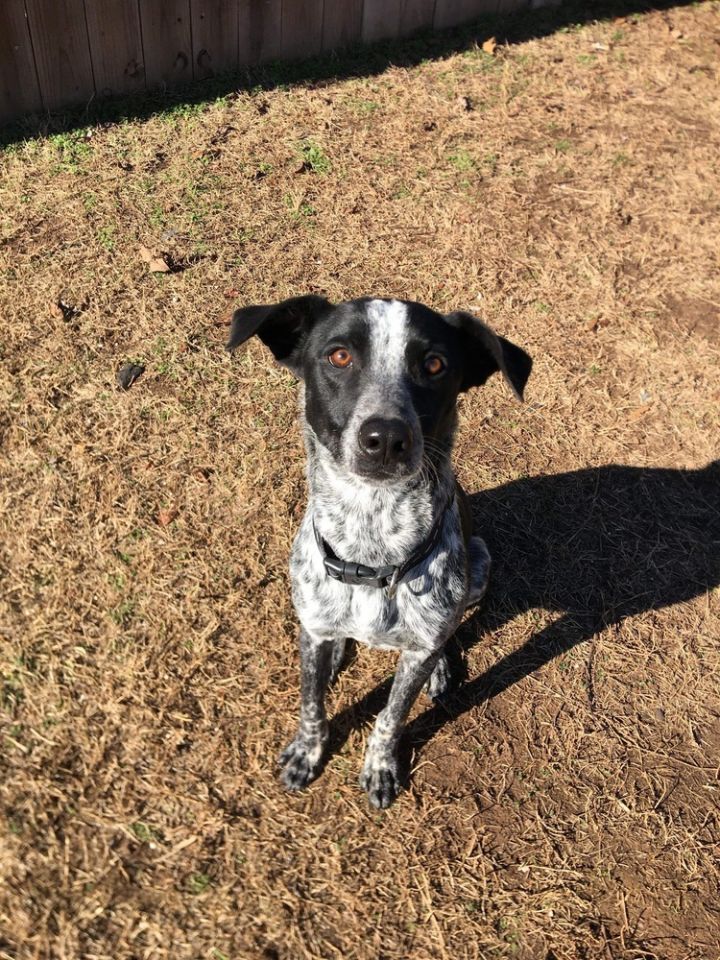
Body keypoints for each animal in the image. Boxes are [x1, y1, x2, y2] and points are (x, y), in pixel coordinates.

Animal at [228, 296, 532, 808]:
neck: (372, 545)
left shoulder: (420, 646)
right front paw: (307, 751)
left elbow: (391, 717)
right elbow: (311, 703)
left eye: (435, 364)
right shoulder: (311, 626)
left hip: (480, 563)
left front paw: (380, 767)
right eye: (339, 356)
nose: (386, 438)